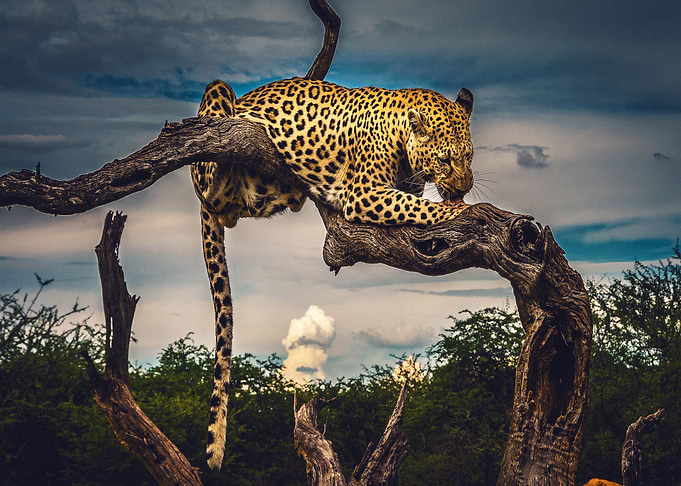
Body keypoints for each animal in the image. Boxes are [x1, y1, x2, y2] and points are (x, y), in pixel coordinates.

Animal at [191, 77, 474, 470]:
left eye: (470, 155)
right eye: (445, 158)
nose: (465, 187)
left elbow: (415, 199)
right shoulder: (366, 193)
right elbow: (418, 206)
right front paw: (463, 210)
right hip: (216, 116)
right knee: (213, 172)